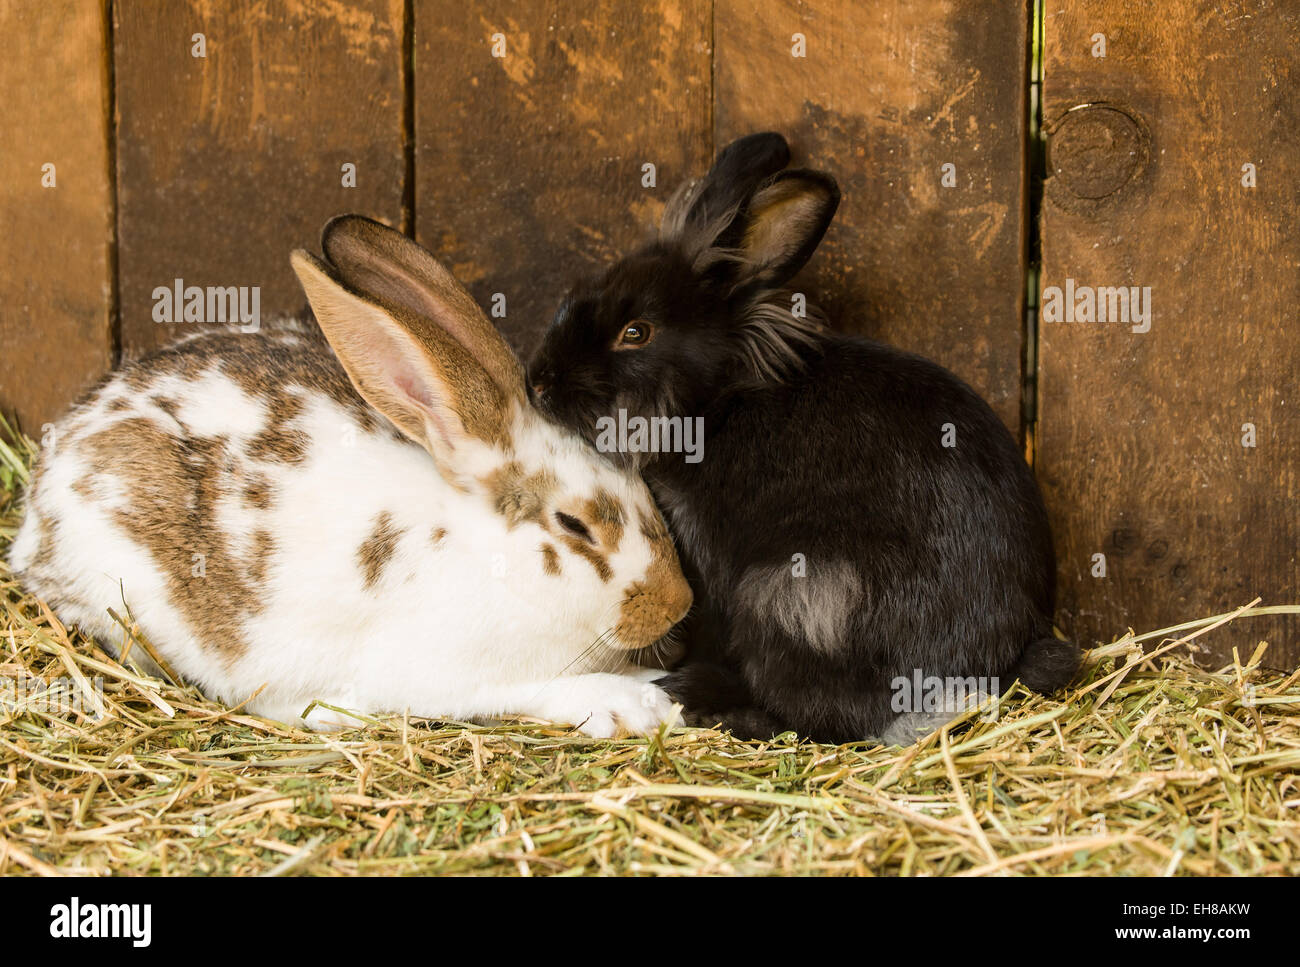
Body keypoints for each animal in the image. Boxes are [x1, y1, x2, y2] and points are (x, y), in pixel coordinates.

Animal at [10, 215, 696, 738]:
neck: (484, 554)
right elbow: (537, 690)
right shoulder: (448, 674)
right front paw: (630, 704)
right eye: (574, 526)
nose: (679, 602)